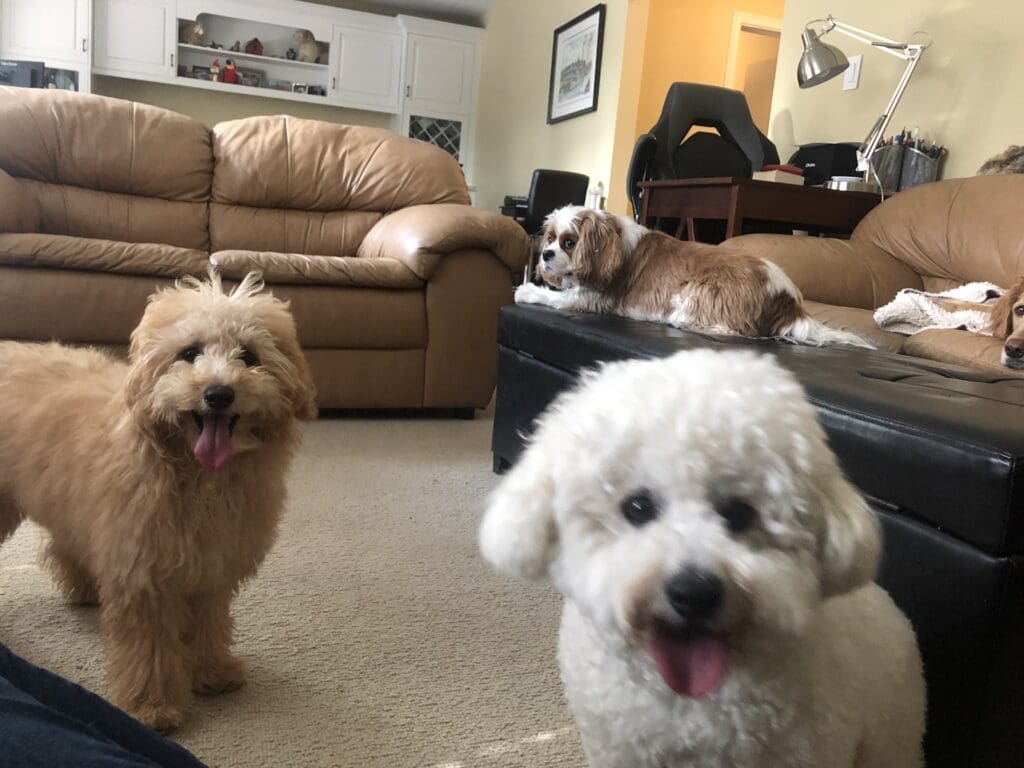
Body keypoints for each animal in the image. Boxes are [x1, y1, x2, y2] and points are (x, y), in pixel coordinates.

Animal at [479, 352, 929, 765]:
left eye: (739, 513)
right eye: (636, 507)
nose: (693, 592)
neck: (687, 705)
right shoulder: (618, 750)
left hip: (892, 734)